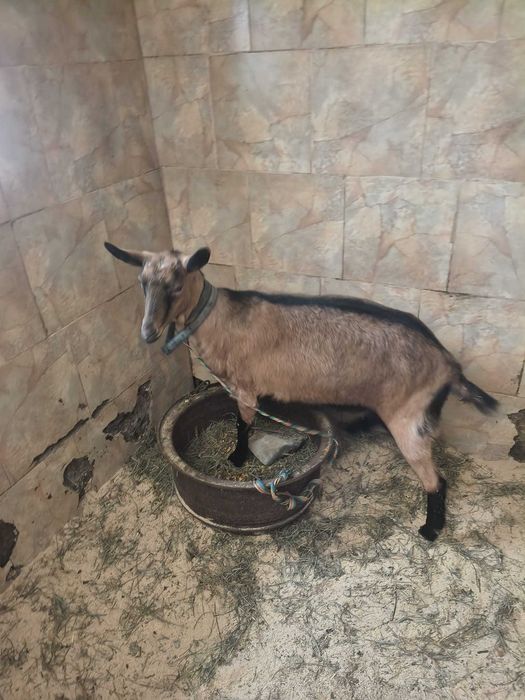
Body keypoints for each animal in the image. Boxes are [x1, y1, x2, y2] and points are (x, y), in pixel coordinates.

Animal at [104, 242, 499, 541]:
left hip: (408, 418)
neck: (220, 318)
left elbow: (243, 424)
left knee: (436, 479)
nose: (148, 333)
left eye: (176, 285)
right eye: (142, 282)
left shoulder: (244, 386)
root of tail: (448, 365)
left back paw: (430, 530)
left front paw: (237, 458)